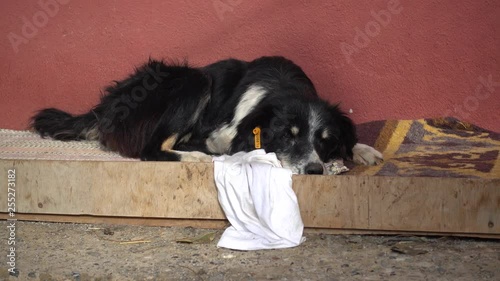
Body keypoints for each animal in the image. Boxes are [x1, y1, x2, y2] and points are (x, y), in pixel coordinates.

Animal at [32, 55, 382, 173]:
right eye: (287, 135)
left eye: (325, 140)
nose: (313, 170)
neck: (284, 88)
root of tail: (106, 105)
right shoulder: (221, 135)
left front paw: (361, 150)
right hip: (194, 80)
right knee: (149, 149)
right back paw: (194, 156)